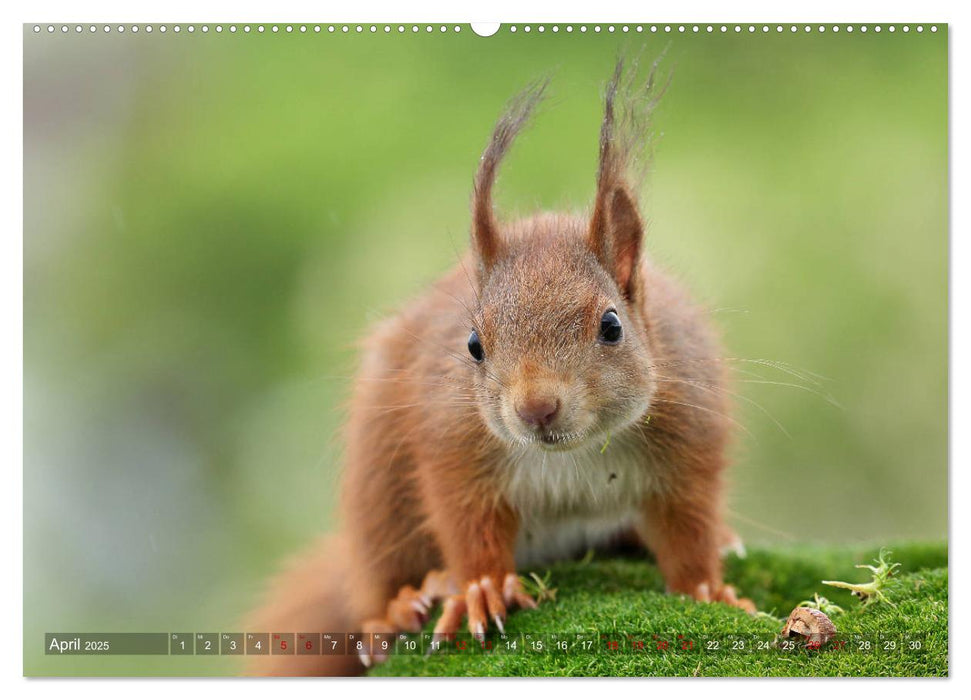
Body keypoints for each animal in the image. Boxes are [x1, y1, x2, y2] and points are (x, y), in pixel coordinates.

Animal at [249, 61, 752, 680]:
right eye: (473, 345)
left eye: (612, 325)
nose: (536, 408)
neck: (573, 456)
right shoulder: (453, 443)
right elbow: (467, 523)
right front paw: (480, 590)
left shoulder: (690, 437)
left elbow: (690, 525)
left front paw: (708, 588)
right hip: (377, 492)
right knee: (378, 573)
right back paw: (398, 607)